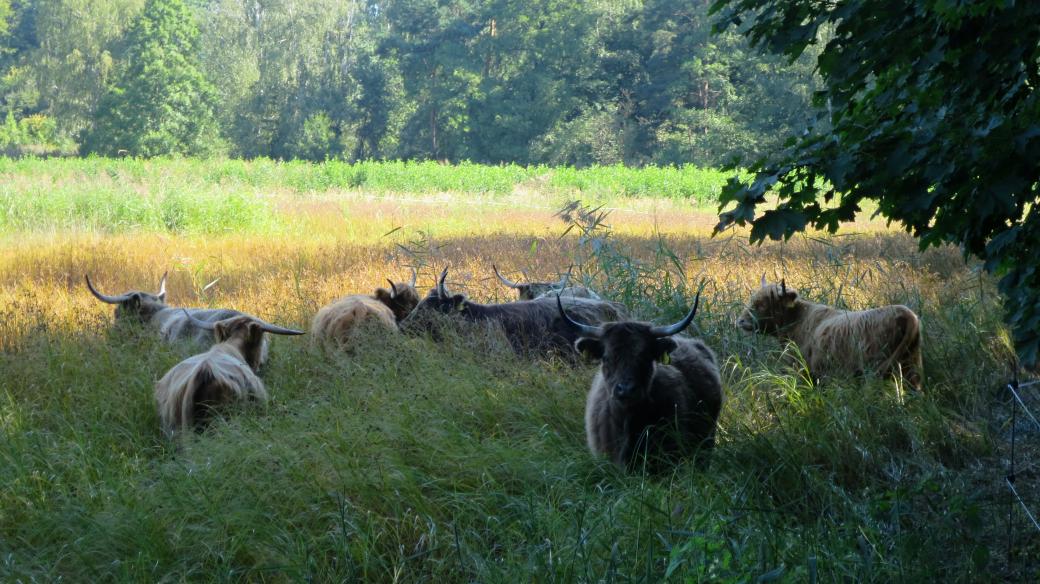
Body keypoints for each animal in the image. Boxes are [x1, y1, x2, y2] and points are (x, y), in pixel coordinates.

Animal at [736, 276, 923, 388]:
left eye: (762, 304)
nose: (740, 321)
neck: (798, 320)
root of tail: (907, 314)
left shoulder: (805, 371)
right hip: (911, 368)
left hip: (875, 369)